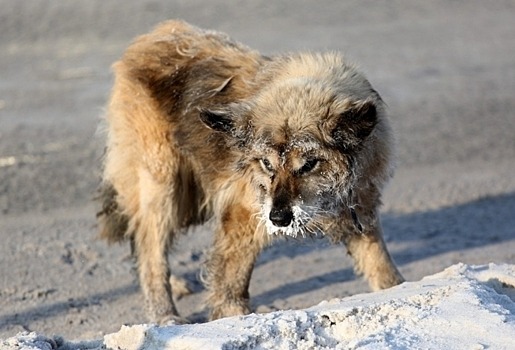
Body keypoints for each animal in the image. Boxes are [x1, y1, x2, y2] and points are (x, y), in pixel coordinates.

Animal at [95, 20, 404, 324]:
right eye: (267, 164)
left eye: (309, 164)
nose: (278, 218)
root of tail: (149, 39)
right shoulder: (242, 215)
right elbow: (231, 281)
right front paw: (233, 318)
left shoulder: (360, 210)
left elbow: (382, 268)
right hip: (164, 186)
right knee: (150, 251)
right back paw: (165, 315)